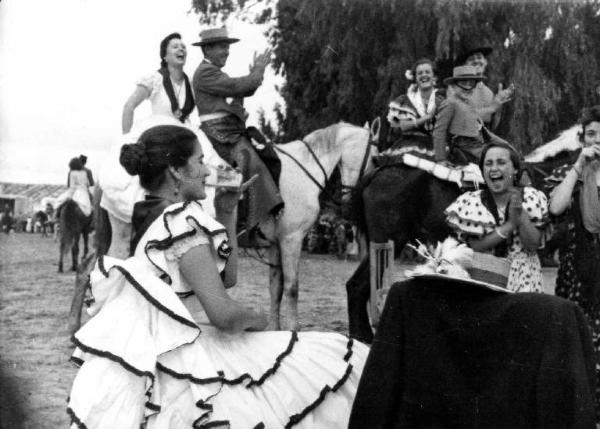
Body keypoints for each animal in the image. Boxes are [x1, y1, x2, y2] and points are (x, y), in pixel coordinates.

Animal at [264, 122, 372, 330]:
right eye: (373, 156)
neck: (303, 170)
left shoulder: (276, 242)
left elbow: (276, 288)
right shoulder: (292, 239)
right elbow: (292, 288)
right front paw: (293, 330)